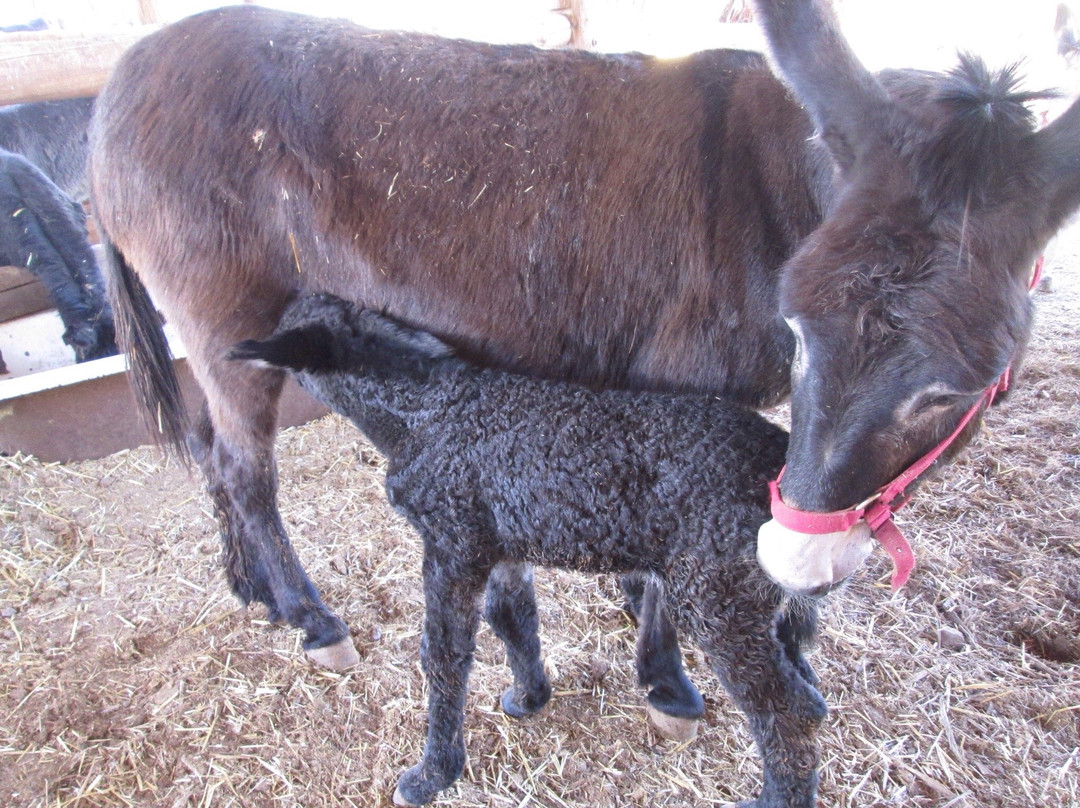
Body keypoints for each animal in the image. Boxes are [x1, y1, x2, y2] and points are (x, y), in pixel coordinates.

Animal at [234, 295, 825, 808]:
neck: (423, 409)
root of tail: (780, 470)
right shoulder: (499, 544)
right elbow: (513, 617)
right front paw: (529, 699)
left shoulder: (451, 541)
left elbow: (444, 653)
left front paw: (431, 773)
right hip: (761, 600)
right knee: (808, 693)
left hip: (716, 597)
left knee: (786, 709)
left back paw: (772, 800)